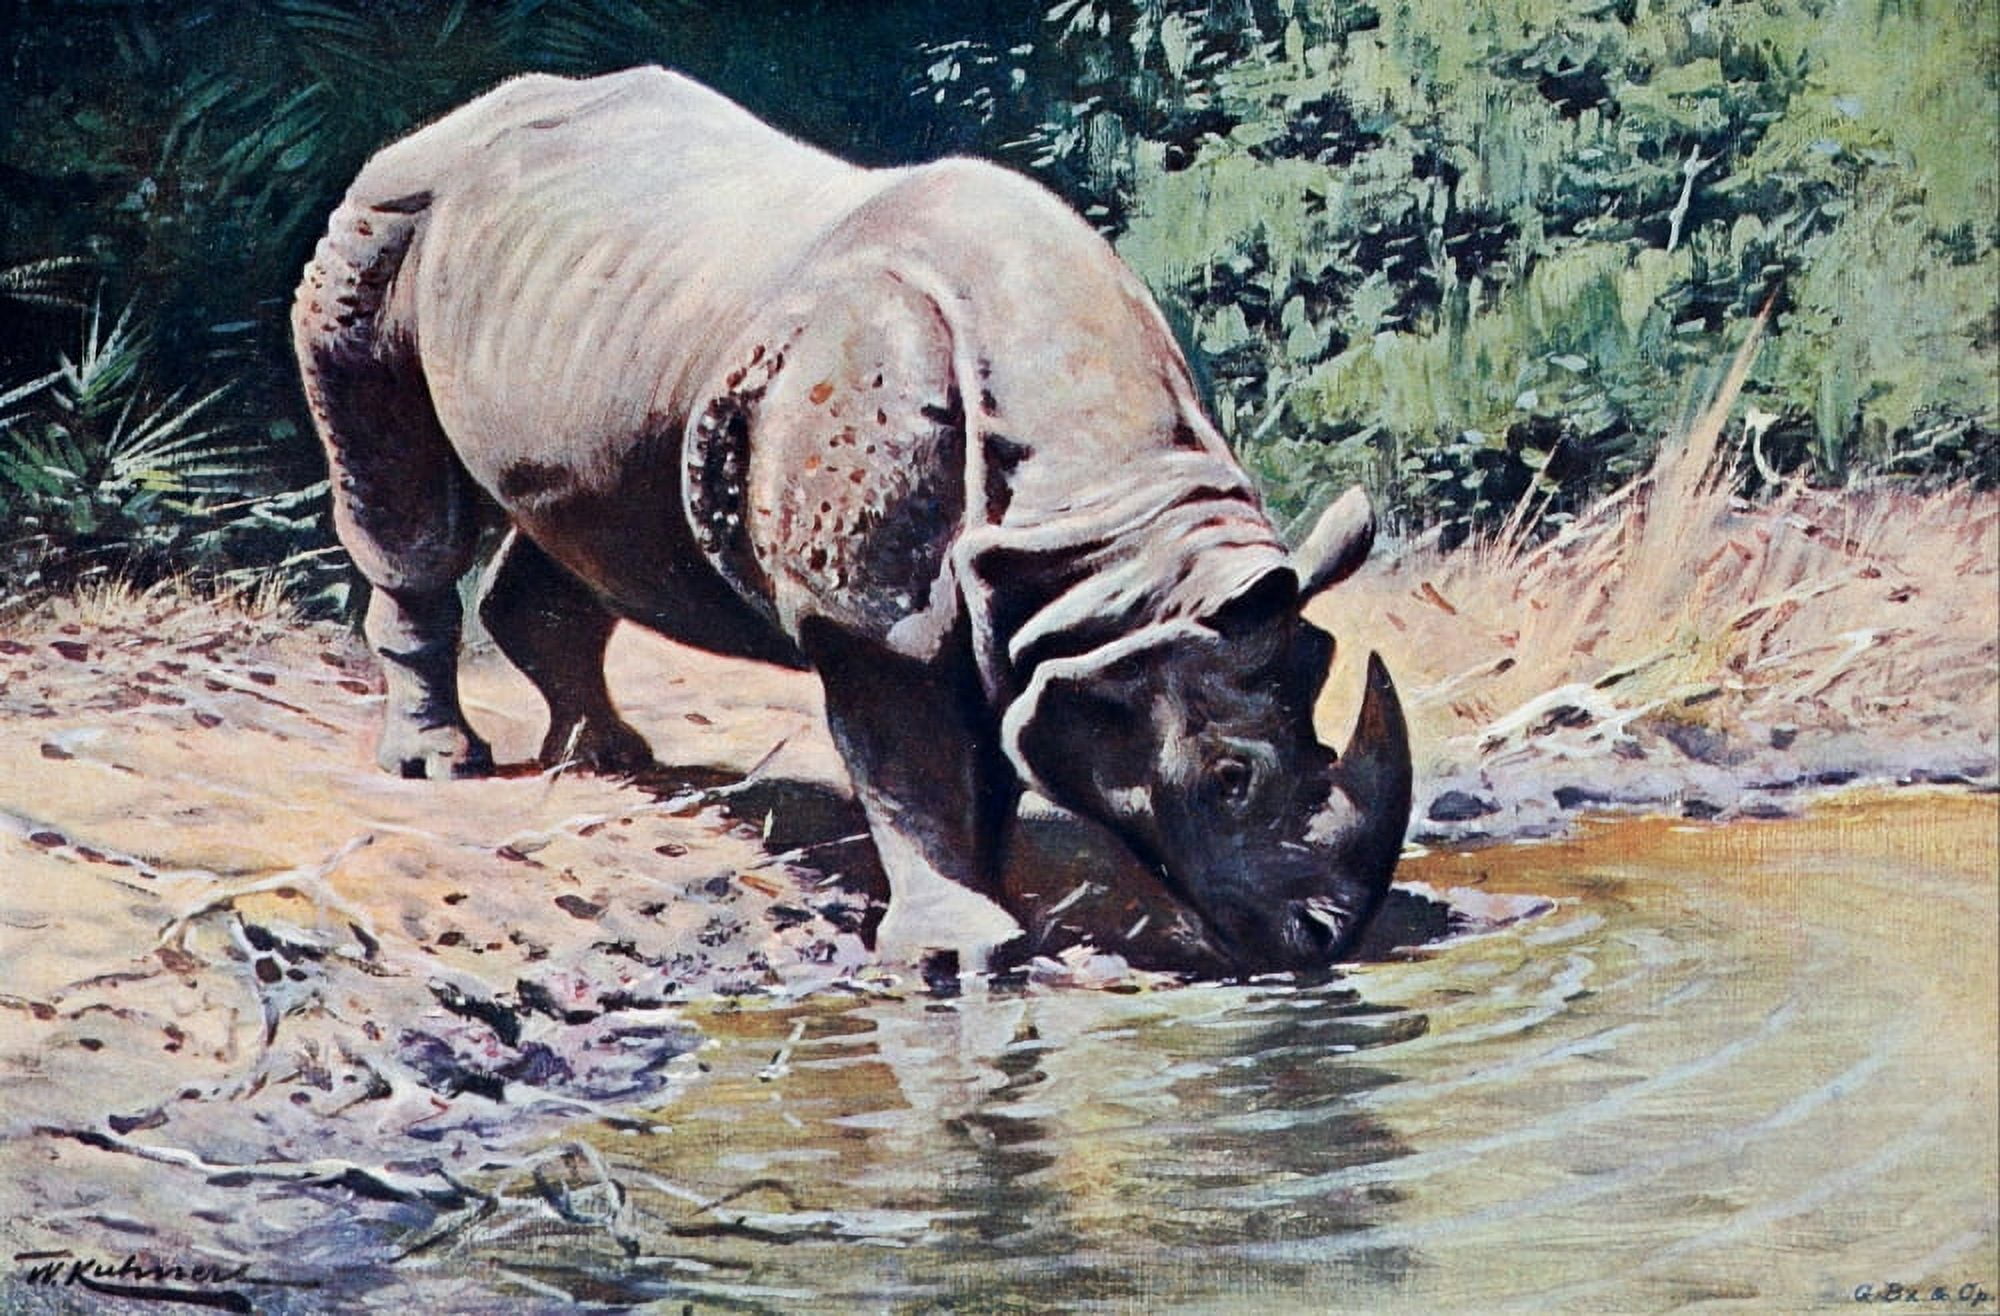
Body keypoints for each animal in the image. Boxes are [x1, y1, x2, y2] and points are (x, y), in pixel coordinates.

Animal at [293, 68, 1411, 974]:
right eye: (1228, 778)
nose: (1321, 938)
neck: (1116, 541)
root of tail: (453, 122)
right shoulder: (873, 612)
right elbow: (907, 758)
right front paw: (957, 955)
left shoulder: (1019, 611)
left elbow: (986, 759)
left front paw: (999, 909)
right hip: (384, 223)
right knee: (403, 493)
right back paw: (441, 765)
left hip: (599, 319)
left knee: (590, 515)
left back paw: (609, 759)